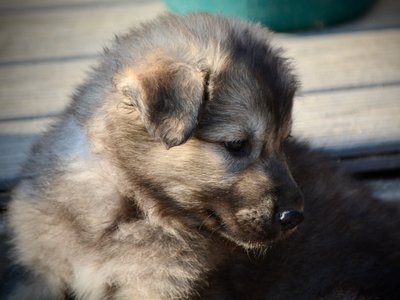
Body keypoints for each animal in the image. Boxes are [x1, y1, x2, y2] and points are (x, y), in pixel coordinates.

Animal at [6, 13, 400, 300]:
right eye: (237, 144)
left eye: (284, 141)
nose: (295, 217)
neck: (131, 206)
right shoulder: (40, 274)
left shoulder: (157, 287)